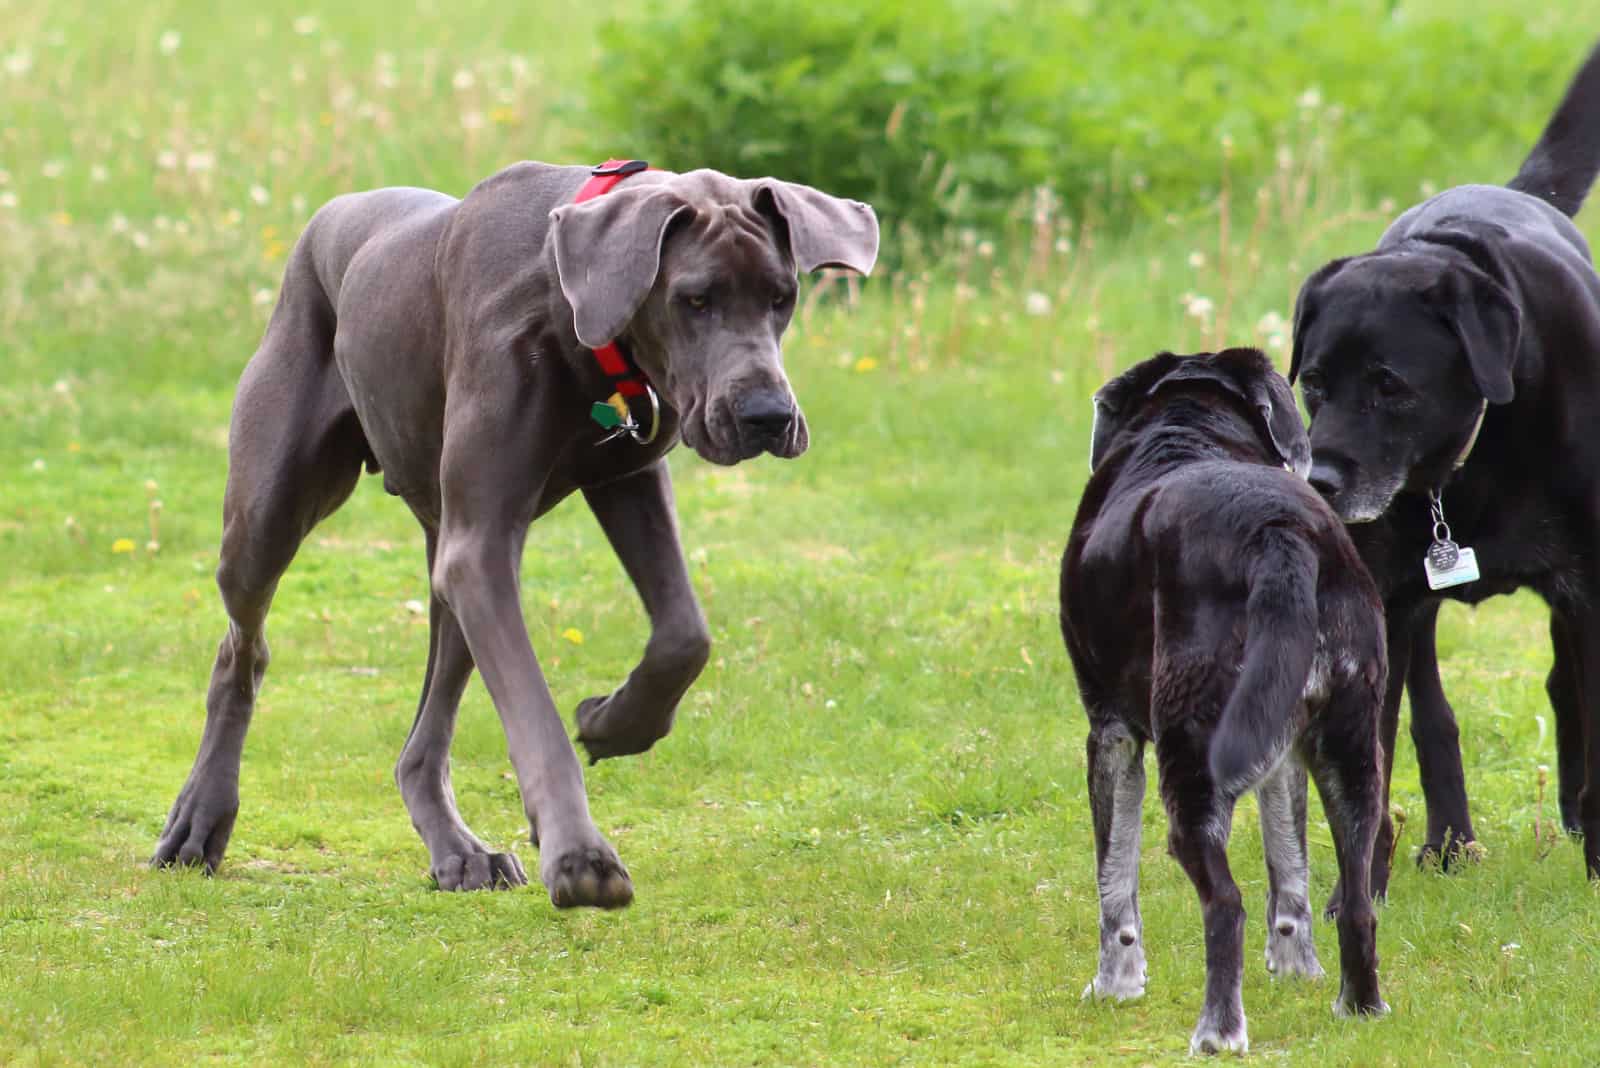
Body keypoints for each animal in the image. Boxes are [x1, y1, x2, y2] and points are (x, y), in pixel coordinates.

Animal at [1062, 350, 1388, 1048]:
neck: (1185, 427)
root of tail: (1279, 535)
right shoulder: (1284, 752)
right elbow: (1290, 870)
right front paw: (1297, 968)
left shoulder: (1111, 734)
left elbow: (1113, 882)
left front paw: (1114, 986)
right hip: (1352, 754)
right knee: (1355, 901)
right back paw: (1361, 1007)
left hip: (1192, 763)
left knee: (1225, 903)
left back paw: (1217, 1032)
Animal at [1292, 41, 1600, 882]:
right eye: (1314, 384)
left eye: (1390, 385)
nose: (1319, 484)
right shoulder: (1386, 608)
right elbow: (1376, 769)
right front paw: (1356, 896)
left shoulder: (1591, 592)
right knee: (1434, 719)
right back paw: (1451, 840)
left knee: (1564, 687)